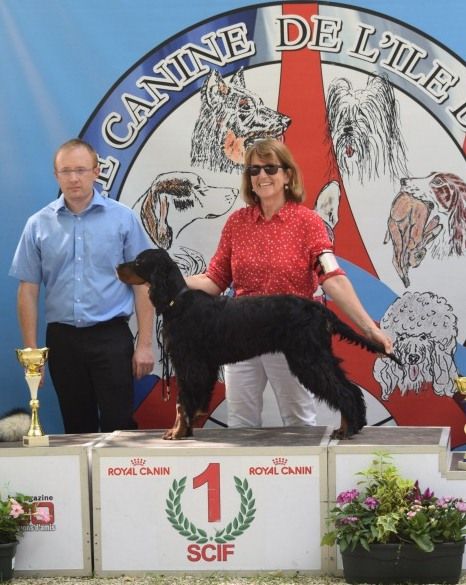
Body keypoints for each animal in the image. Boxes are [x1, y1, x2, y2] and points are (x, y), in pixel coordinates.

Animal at [117, 249, 400, 440]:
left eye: (139, 262)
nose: (118, 266)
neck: (177, 300)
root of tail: (320, 310)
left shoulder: (189, 362)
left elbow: (182, 401)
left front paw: (176, 432)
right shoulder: (203, 366)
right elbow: (193, 399)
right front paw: (185, 429)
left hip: (309, 357)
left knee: (342, 390)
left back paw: (346, 429)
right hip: (317, 355)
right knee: (347, 387)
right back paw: (351, 425)